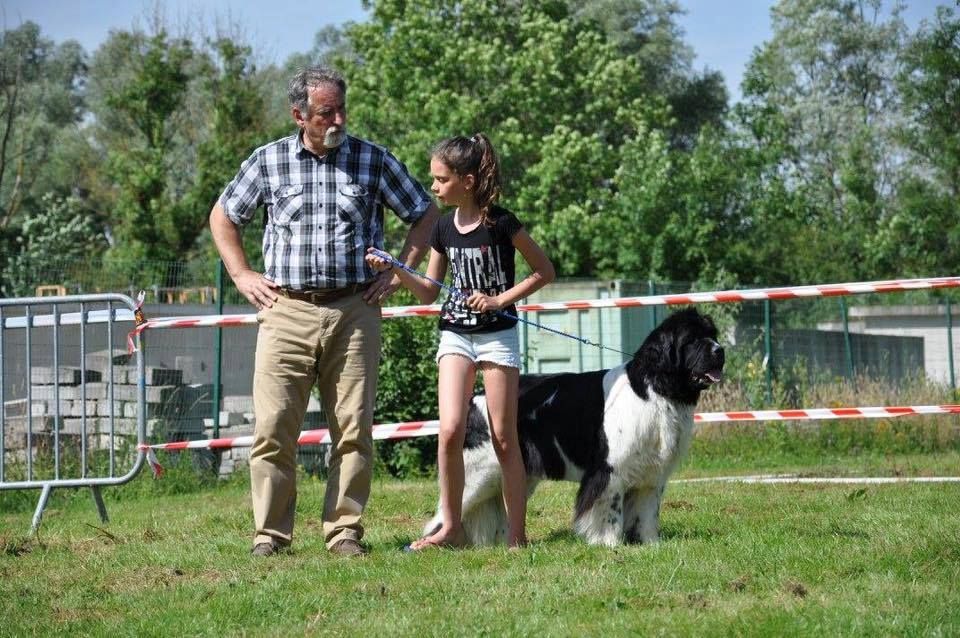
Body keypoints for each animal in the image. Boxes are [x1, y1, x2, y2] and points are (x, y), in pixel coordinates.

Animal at [424, 308, 724, 548]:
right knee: (444, 512)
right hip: (478, 474)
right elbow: (610, 511)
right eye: (691, 340)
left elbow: (647, 513)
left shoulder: (652, 475)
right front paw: (610, 544)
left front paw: (652, 545)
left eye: (713, 335)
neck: (655, 389)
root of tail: (474, 400)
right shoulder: (609, 470)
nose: (720, 350)